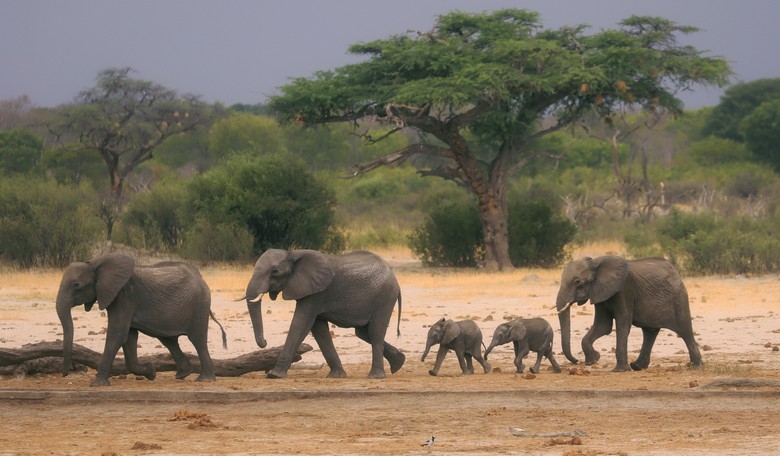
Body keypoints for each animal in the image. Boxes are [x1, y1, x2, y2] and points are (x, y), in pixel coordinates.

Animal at [56, 253, 226, 386]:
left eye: (76, 284)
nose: (65, 374)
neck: (95, 264)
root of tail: (201, 278)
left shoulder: (124, 296)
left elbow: (117, 334)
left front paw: (97, 384)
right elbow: (129, 337)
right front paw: (151, 372)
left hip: (199, 305)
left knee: (197, 340)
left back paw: (205, 380)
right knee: (168, 340)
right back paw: (183, 374)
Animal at [244, 249, 405, 379]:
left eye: (275, 271)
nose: (265, 342)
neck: (293, 254)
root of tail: (394, 277)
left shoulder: (317, 293)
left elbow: (301, 323)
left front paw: (274, 375)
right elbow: (318, 329)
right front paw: (336, 376)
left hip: (384, 297)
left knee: (375, 331)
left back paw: (376, 376)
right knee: (363, 333)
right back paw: (399, 363)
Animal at [555, 255, 702, 372]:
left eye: (577, 282)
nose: (576, 361)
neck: (596, 262)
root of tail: (675, 271)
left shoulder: (624, 290)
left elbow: (622, 323)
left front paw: (620, 371)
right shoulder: (600, 292)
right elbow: (603, 326)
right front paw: (593, 360)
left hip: (678, 298)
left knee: (685, 330)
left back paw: (696, 366)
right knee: (650, 332)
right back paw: (637, 366)